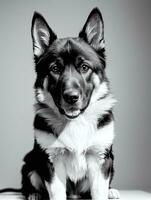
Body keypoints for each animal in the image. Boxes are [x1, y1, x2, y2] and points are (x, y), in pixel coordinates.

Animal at [21, 7, 120, 199]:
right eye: (55, 69)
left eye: (84, 67)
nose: (71, 97)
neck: (75, 122)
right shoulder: (51, 161)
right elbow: (56, 192)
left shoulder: (100, 159)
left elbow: (99, 192)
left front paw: (106, 192)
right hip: (30, 162)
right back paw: (34, 193)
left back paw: (111, 190)